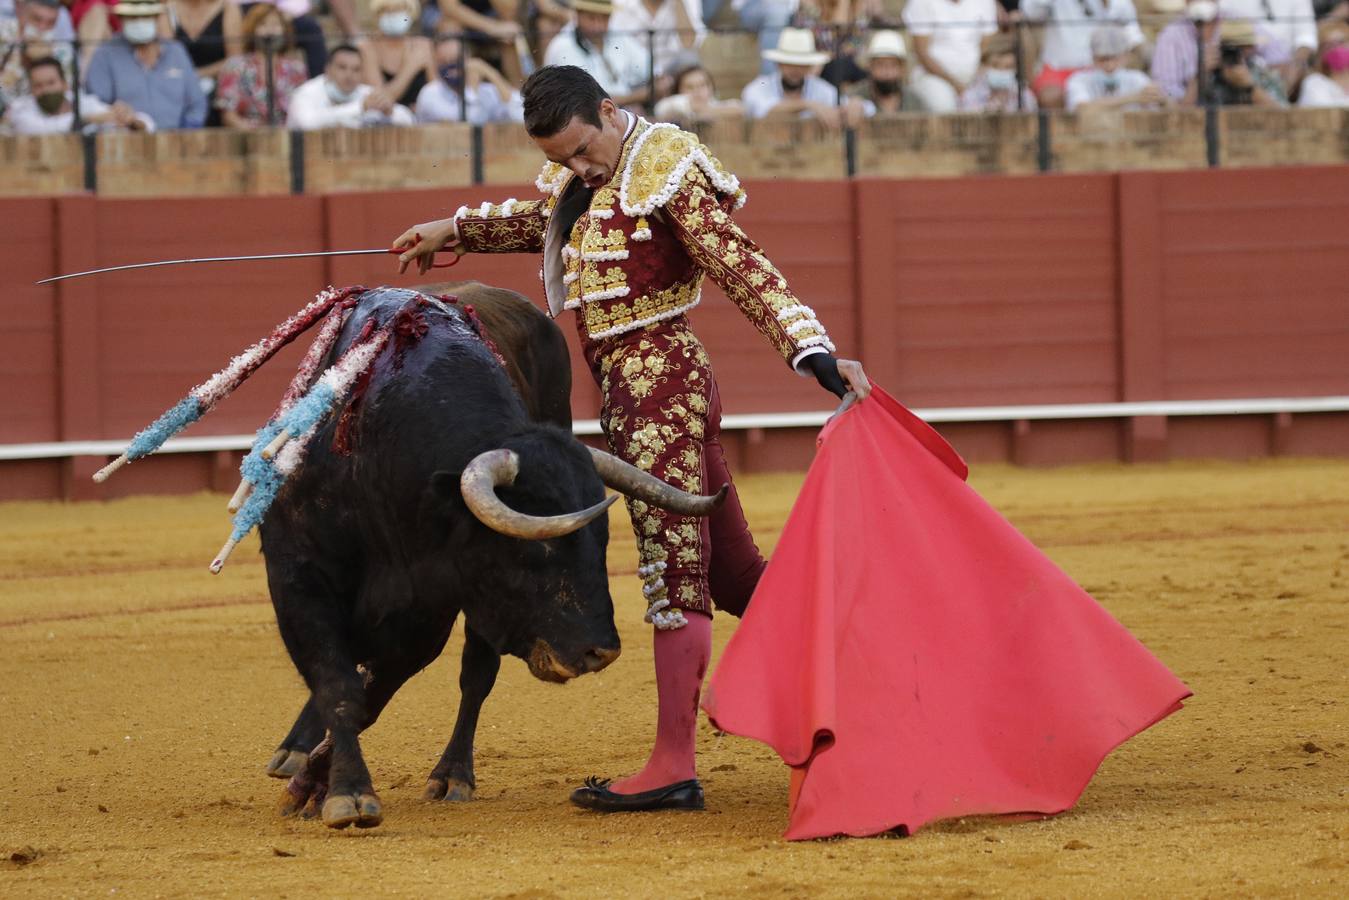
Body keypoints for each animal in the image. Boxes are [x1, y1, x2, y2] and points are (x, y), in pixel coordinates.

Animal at [253, 284, 717, 825]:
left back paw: (452, 774)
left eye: (602, 541)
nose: (601, 651)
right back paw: (294, 751)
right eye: (537, 548)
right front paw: (341, 790)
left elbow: (373, 694)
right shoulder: (296, 578)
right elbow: (338, 685)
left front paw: (319, 783)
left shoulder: (426, 613)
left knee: (474, 677)